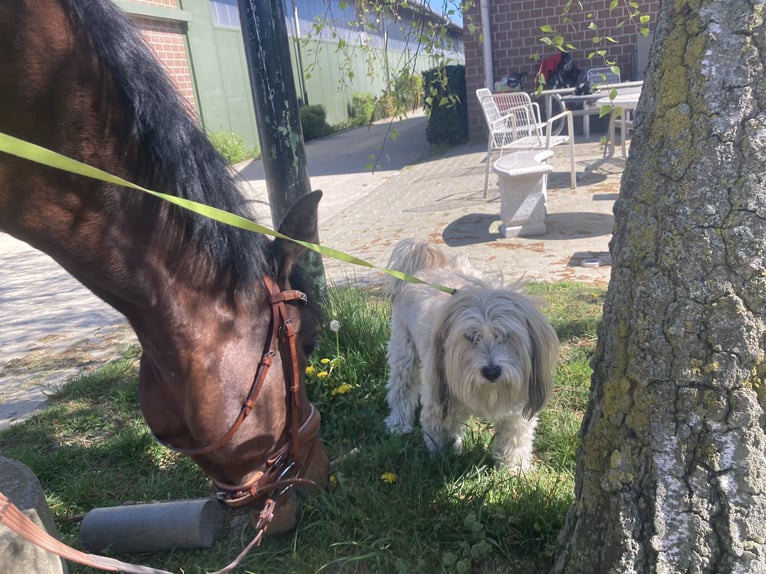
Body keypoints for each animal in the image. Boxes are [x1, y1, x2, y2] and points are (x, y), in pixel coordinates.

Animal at [382, 241, 560, 470]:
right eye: (470, 336)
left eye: (505, 336)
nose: (491, 371)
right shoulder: (439, 398)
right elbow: (441, 434)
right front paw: (445, 460)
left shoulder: (518, 405)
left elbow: (515, 439)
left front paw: (515, 469)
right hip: (404, 351)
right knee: (400, 389)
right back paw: (398, 423)